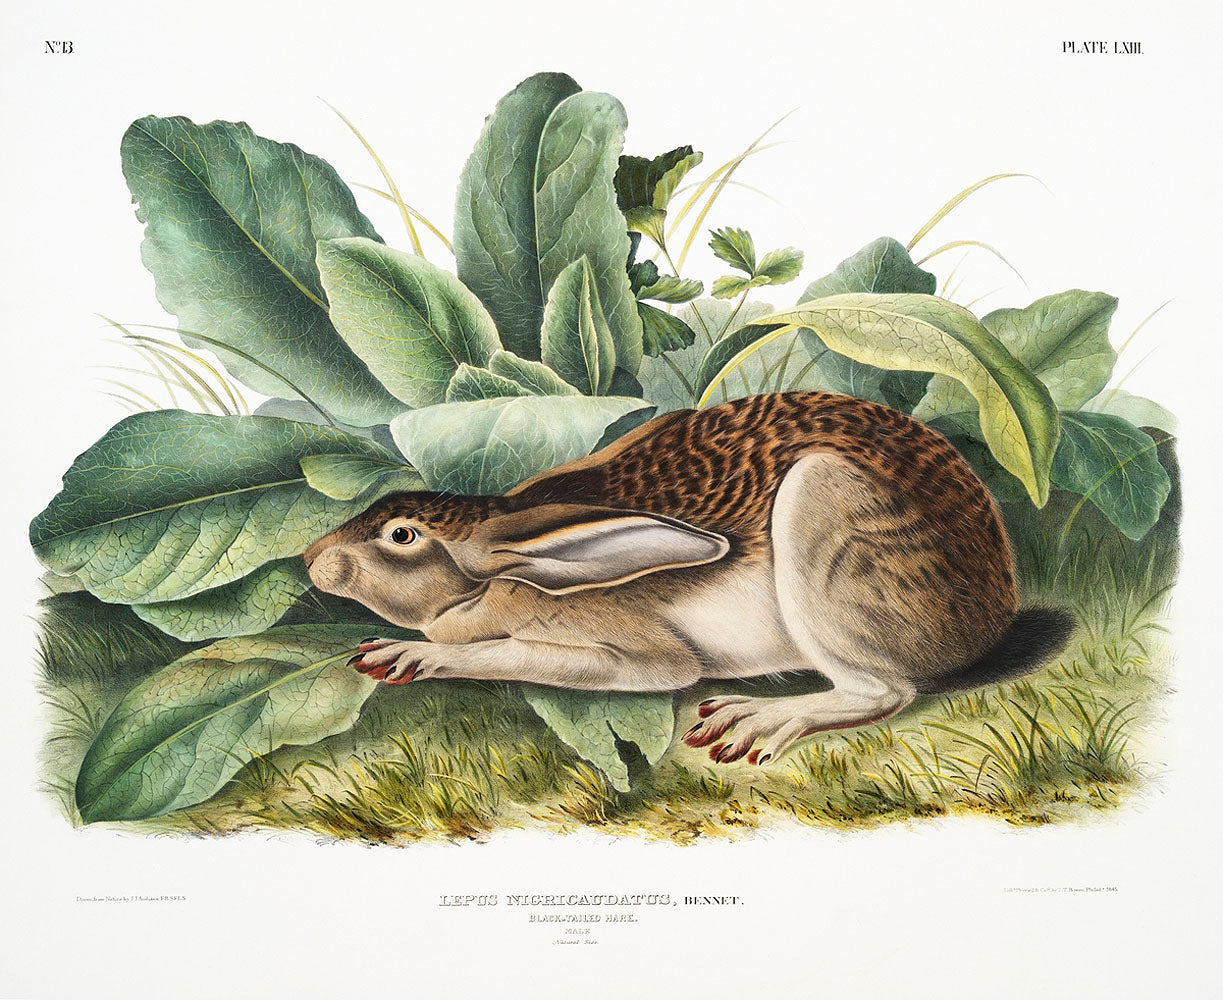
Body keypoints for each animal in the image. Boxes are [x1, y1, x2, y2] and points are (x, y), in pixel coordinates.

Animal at [303, 391, 1074, 765]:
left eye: (401, 537)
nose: (312, 556)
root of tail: (994, 605)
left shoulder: (639, 654)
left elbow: (508, 654)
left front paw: (411, 654)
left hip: (822, 515)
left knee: (884, 691)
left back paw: (755, 719)